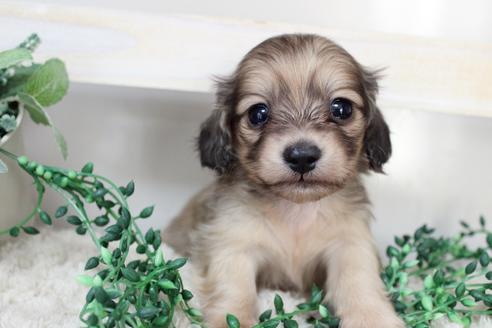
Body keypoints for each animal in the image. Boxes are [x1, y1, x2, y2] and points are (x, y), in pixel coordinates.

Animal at [164, 34, 404, 326]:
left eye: (342, 108)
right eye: (258, 113)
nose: (302, 156)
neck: (296, 212)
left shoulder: (350, 244)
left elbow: (359, 281)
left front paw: (373, 317)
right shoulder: (231, 245)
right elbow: (235, 288)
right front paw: (233, 320)